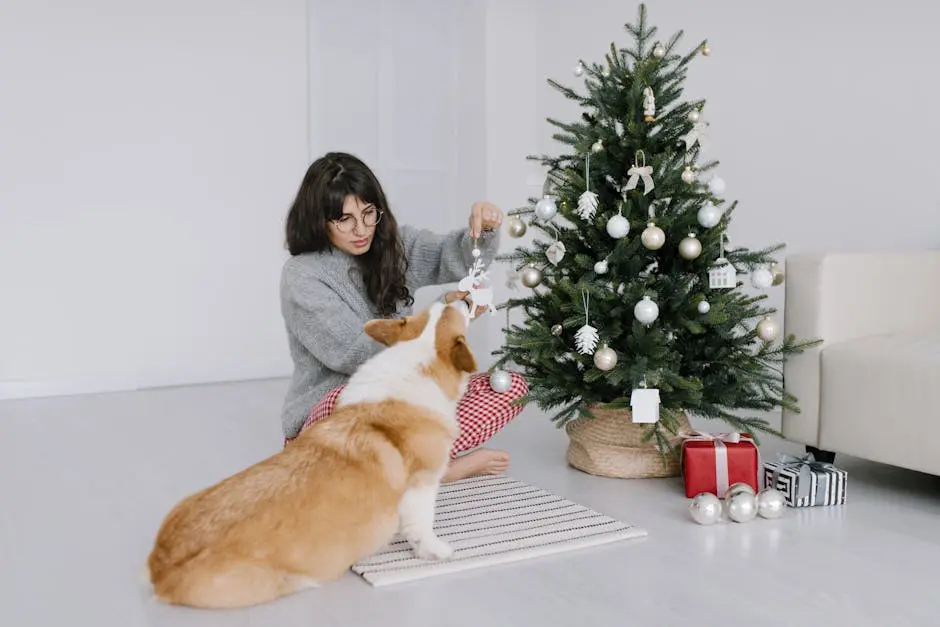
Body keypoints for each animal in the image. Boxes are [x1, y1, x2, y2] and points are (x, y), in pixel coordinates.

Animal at [148, 300, 478, 608]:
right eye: (454, 314)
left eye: (434, 307)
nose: (463, 299)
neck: (416, 359)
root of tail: (158, 570)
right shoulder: (423, 484)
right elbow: (422, 526)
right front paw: (436, 551)